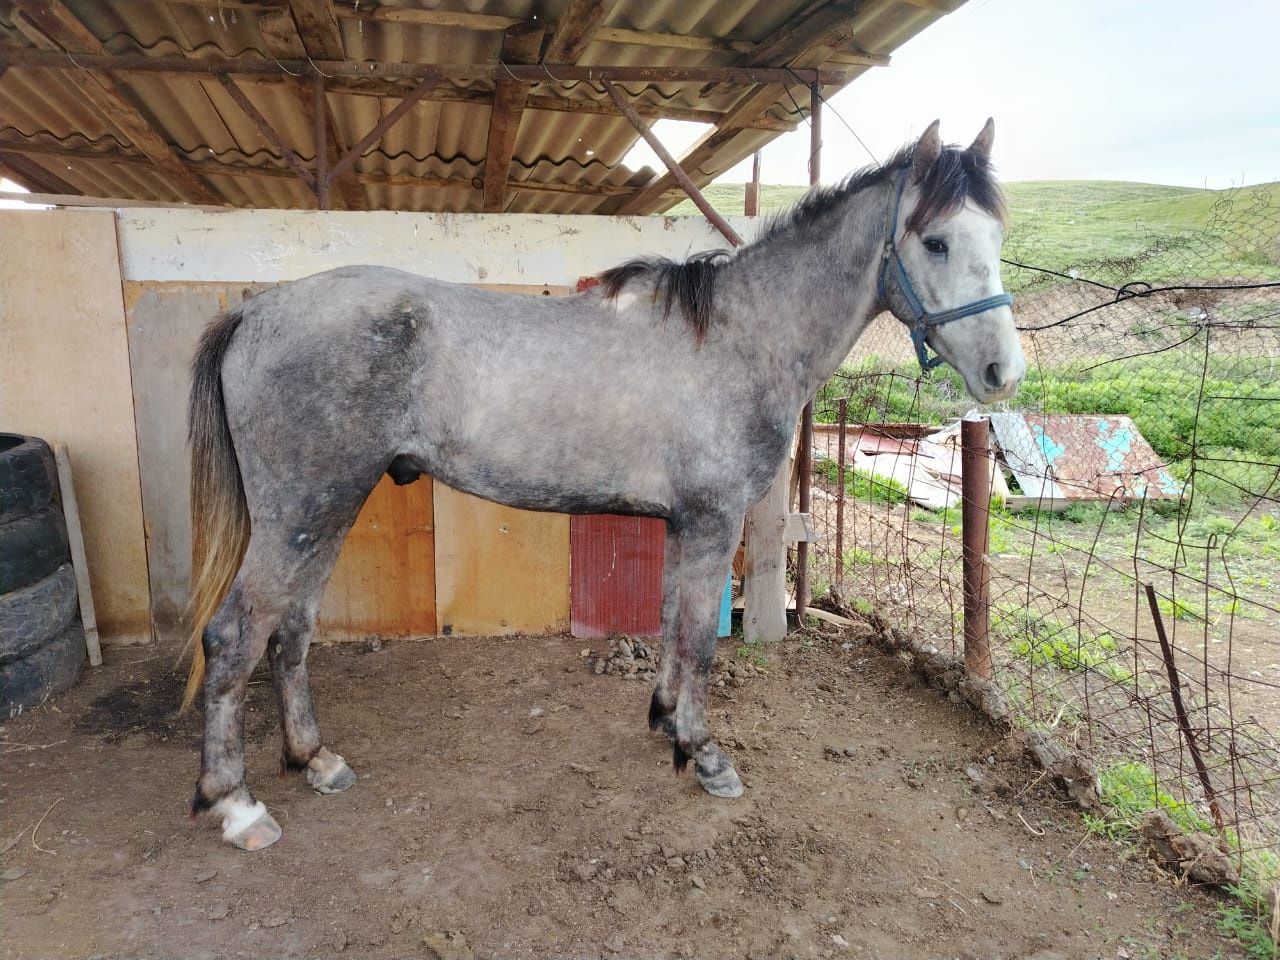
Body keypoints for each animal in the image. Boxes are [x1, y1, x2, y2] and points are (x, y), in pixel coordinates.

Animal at [183, 120, 1018, 849]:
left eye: (997, 238)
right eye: (936, 241)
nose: (1004, 372)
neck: (739, 339)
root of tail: (258, 309)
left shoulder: (685, 525)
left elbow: (673, 625)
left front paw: (666, 722)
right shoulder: (715, 522)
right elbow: (699, 640)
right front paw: (704, 755)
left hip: (325, 511)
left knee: (290, 630)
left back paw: (313, 759)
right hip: (301, 510)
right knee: (234, 636)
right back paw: (237, 806)